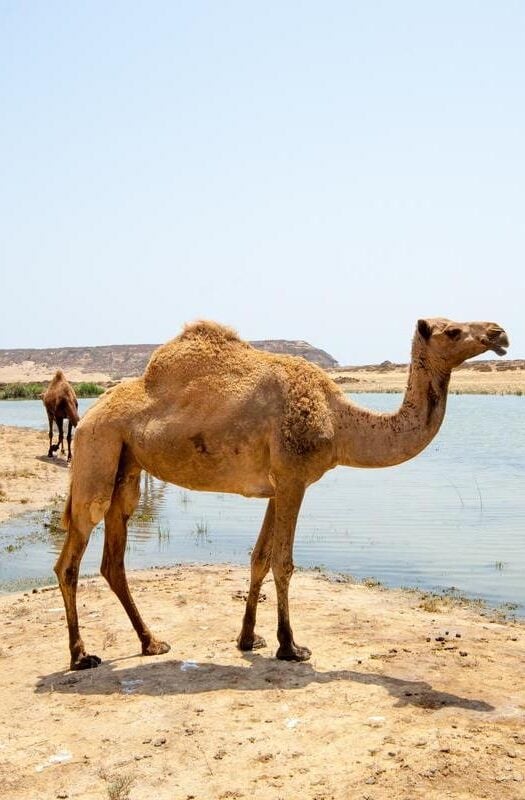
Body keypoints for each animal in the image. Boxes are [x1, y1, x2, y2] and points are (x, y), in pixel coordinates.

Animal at [54, 318, 508, 668]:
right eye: (452, 330)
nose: (499, 332)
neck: (340, 422)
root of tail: (90, 414)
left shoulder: (278, 484)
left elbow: (259, 558)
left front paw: (248, 638)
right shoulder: (293, 478)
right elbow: (284, 563)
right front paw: (290, 646)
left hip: (126, 466)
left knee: (113, 558)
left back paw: (151, 643)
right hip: (98, 449)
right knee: (71, 558)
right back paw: (81, 656)